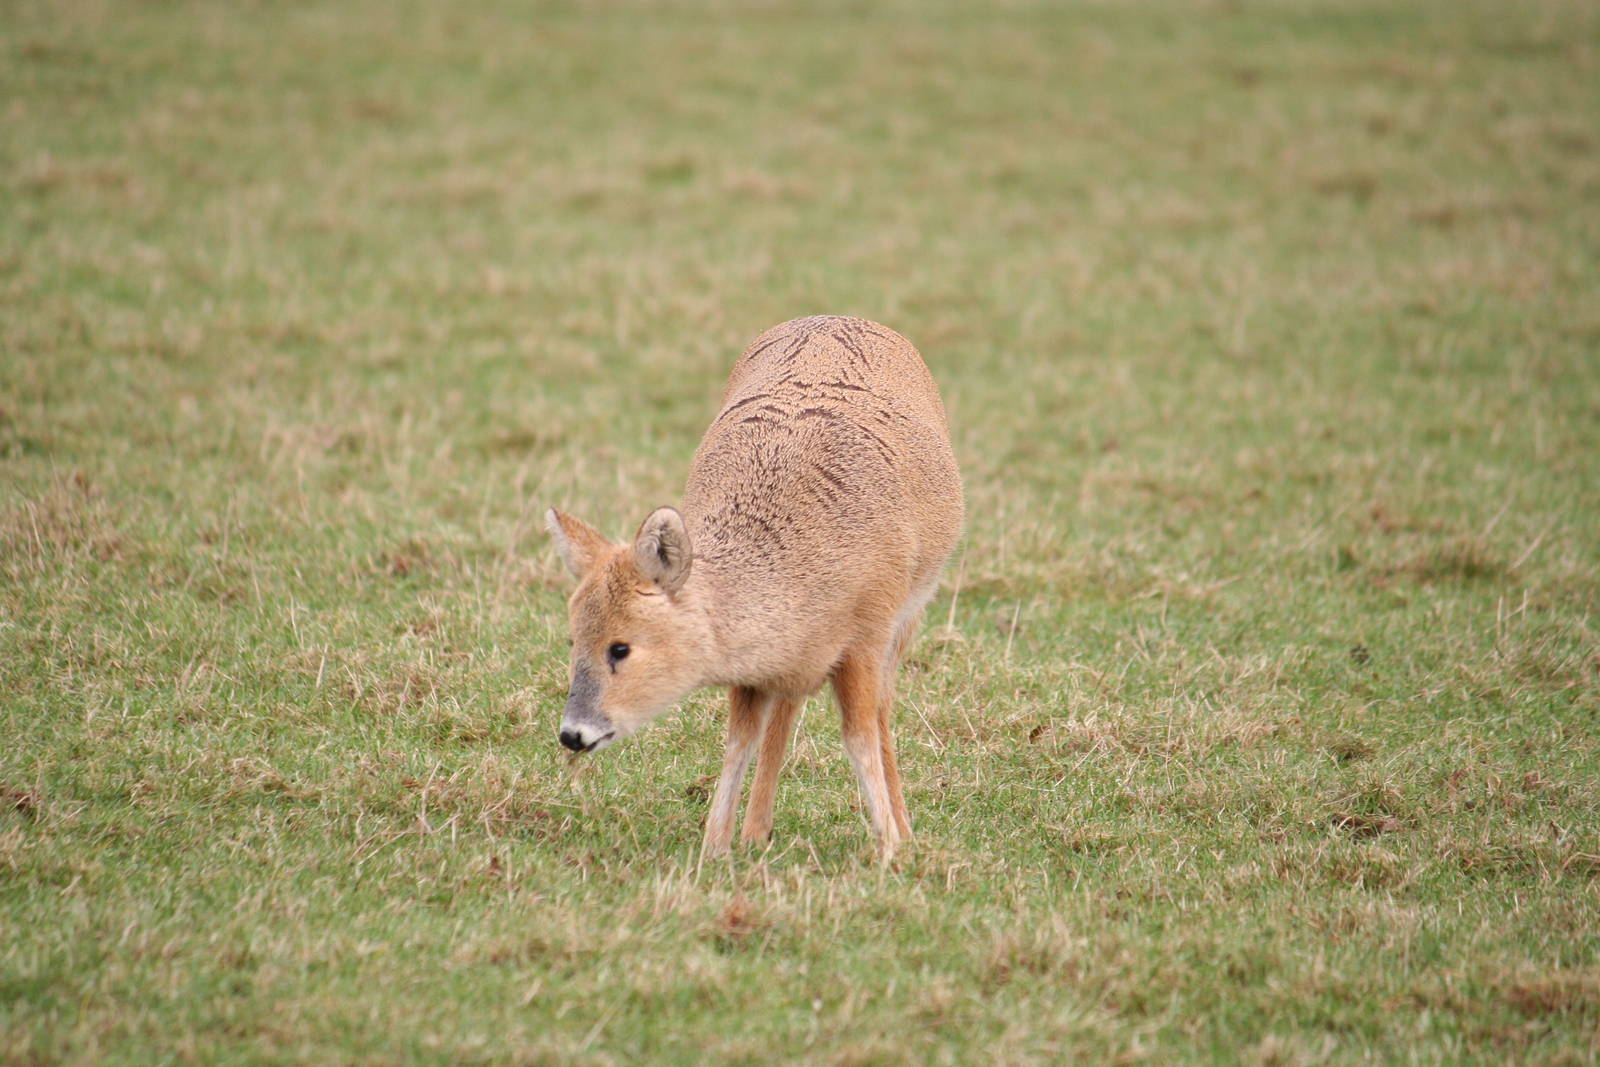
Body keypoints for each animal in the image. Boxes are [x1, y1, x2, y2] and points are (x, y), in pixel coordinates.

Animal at [546, 316, 963, 861]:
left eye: (621, 647)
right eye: (572, 640)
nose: (573, 734)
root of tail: (839, 317)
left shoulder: (868, 635)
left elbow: (860, 734)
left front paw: (890, 848)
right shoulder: (757, 665)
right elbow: (740, 741)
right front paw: (715, 847)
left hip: (909, 617)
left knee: (881, 713)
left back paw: (904, 830)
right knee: (787, 711)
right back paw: (756, 830)